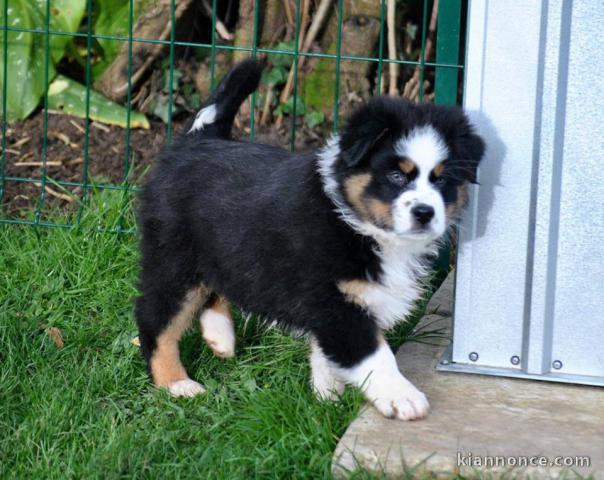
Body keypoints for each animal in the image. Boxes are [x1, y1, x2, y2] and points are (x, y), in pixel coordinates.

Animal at [134, 59, 484, 420]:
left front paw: (326, 401)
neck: (356, 223)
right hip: (174, 256)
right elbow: (372, 353)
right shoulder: (332, 301)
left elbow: (327, 356)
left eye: (441, 179)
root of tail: (197, 139)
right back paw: (176, 384)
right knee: (155, 317)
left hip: (223, 248)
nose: (425, 212)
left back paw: (221, 337)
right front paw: (401, 396)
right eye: (397, 175)